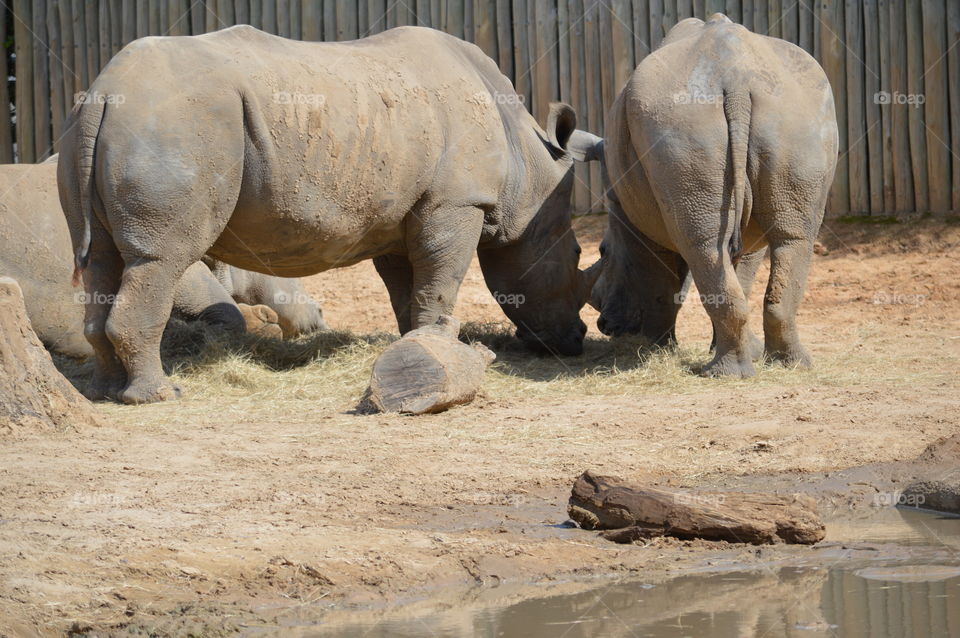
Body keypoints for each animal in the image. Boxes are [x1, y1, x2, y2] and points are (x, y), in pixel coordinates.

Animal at [59, 25, 602, 404]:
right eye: (576, 254)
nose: (576, 341)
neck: (528, 164)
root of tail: (106, 91)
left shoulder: (402, 218)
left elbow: (409, 289)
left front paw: (414, 350)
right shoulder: (456, 203)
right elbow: (440, 280)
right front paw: (446, 349)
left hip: (103, 128)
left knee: (100, 258)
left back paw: (104, 392)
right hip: (180, 124)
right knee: (161, 260)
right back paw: (159, 395)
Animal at [591, 15, 838, 377]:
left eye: (603, 251)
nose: (605, 325)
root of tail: (735, 76)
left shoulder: (632, 218)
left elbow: (659, 276)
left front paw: (655, 346)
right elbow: (740, 268)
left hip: (688, 117)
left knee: (709, 246)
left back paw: (722, 372)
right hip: (788, 114)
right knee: (788, 237)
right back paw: (788, 365)